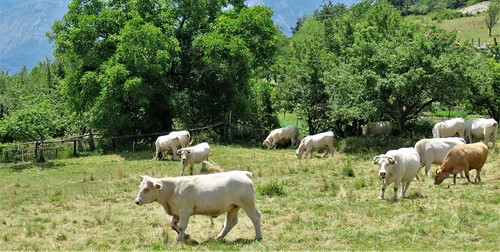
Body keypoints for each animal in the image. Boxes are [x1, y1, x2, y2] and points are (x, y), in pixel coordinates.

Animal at [135, 171, 264, 242]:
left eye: (146, 189)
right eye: (140, 187)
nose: (137, 201)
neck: (172, 189)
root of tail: (244, 173)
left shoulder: (185, 211)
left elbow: (181, 226)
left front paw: (180, 239)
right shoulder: (176, 212)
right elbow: (173, 225)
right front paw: (186, 236)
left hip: (248, 204)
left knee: (255, 217)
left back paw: (258, 236)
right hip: (233, 207)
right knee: (230, 222)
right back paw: (219, 237)